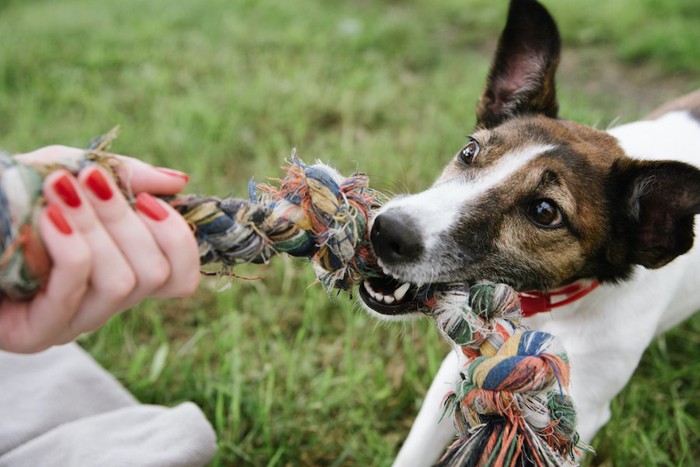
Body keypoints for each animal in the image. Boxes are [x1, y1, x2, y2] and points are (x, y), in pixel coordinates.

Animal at [356, 0, 700, 464]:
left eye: (544, 211)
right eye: (469, 151)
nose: (385, 230)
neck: (551, 308)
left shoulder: (577, 414)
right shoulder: (461, 367)